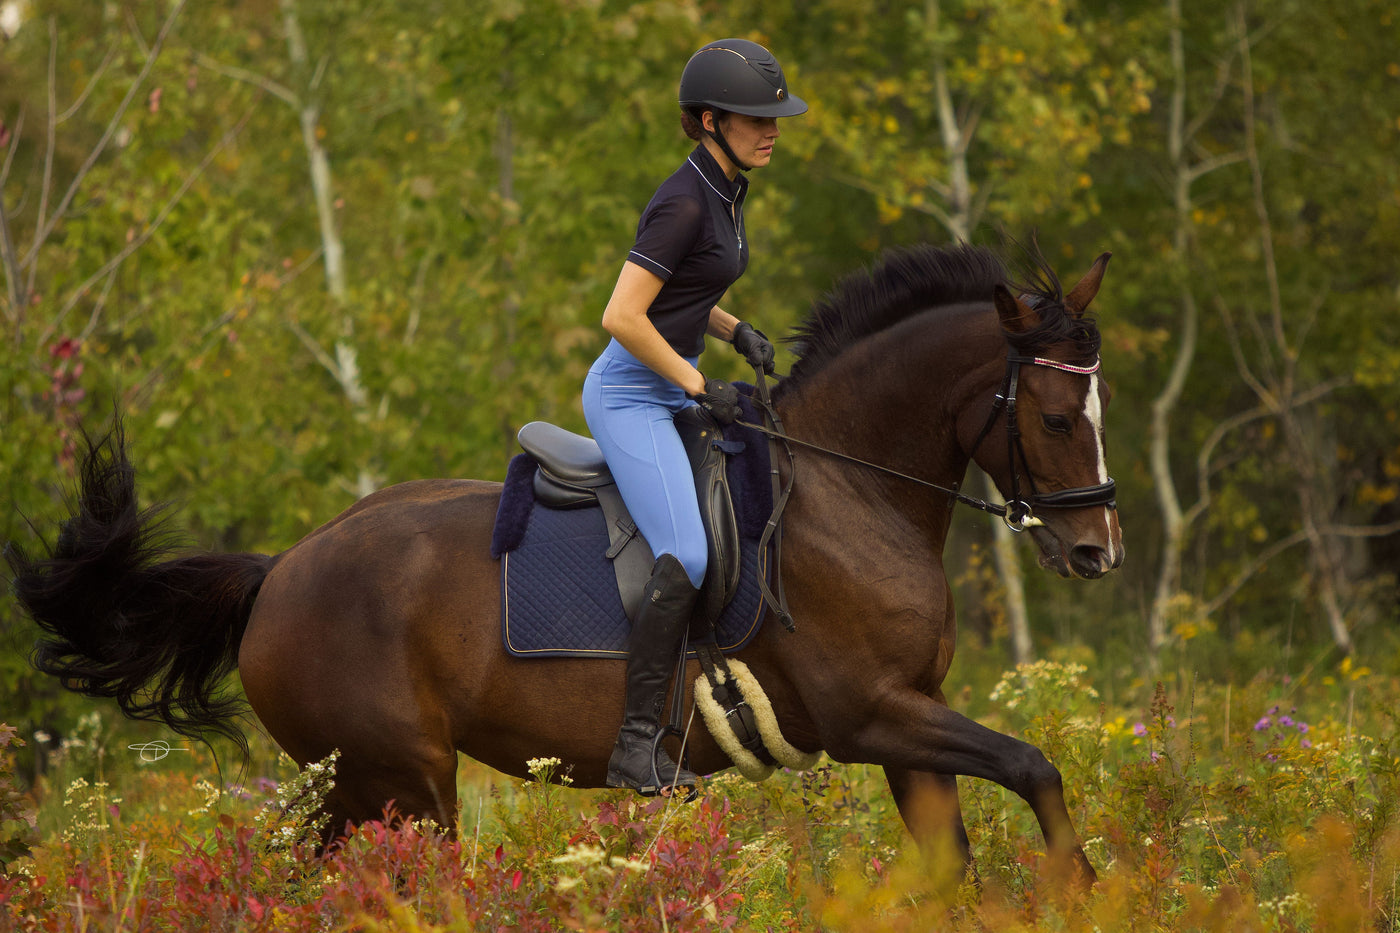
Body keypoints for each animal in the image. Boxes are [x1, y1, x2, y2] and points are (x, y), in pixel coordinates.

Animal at [2, 239, 1114, 879]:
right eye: (1058, 417)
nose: (1095, 550)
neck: (849, 490)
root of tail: (280, 570)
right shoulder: (871, 714)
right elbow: (1036, 765)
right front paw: (1081, 890)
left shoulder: (907, 729)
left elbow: (956, 862)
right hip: (407, 783)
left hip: (354, 789)